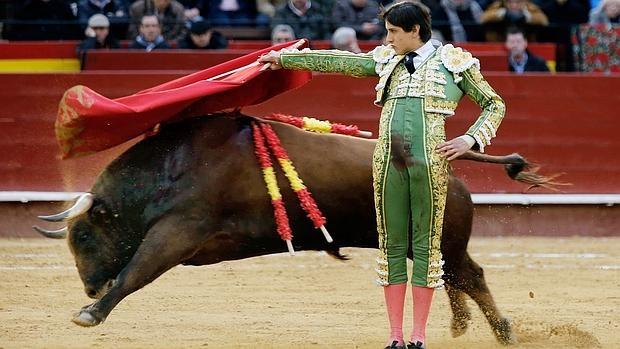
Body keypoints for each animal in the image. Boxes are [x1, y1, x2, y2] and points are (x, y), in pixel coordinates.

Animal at [35, 111, 544, 342]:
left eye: (84, 236)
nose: (89, 288)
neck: (173, 167)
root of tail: (447, 159)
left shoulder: (177, 232)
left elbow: (134, 273)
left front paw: (90, 315)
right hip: (432, 241)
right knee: (454, 275)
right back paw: (461, 326)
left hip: (441, 238)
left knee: (468, 276)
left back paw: (503, 332)